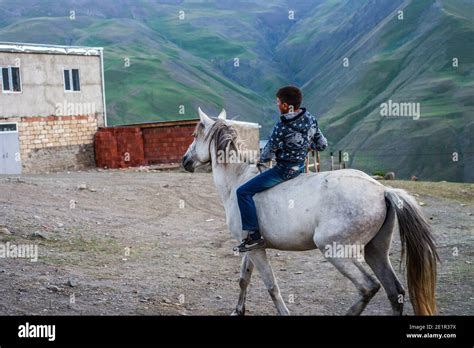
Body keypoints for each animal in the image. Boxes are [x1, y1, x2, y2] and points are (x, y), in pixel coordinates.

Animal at [181, 108, 436, 316]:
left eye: (194, 135)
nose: (185, 161)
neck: (237, 180)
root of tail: (382, 190)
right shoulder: (251, 247)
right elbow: (244, 279)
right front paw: (238, 311)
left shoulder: (257, 250)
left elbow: (272, 286)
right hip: (375, 251)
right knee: (395, 292)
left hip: (335, 250)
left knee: (368, 287)